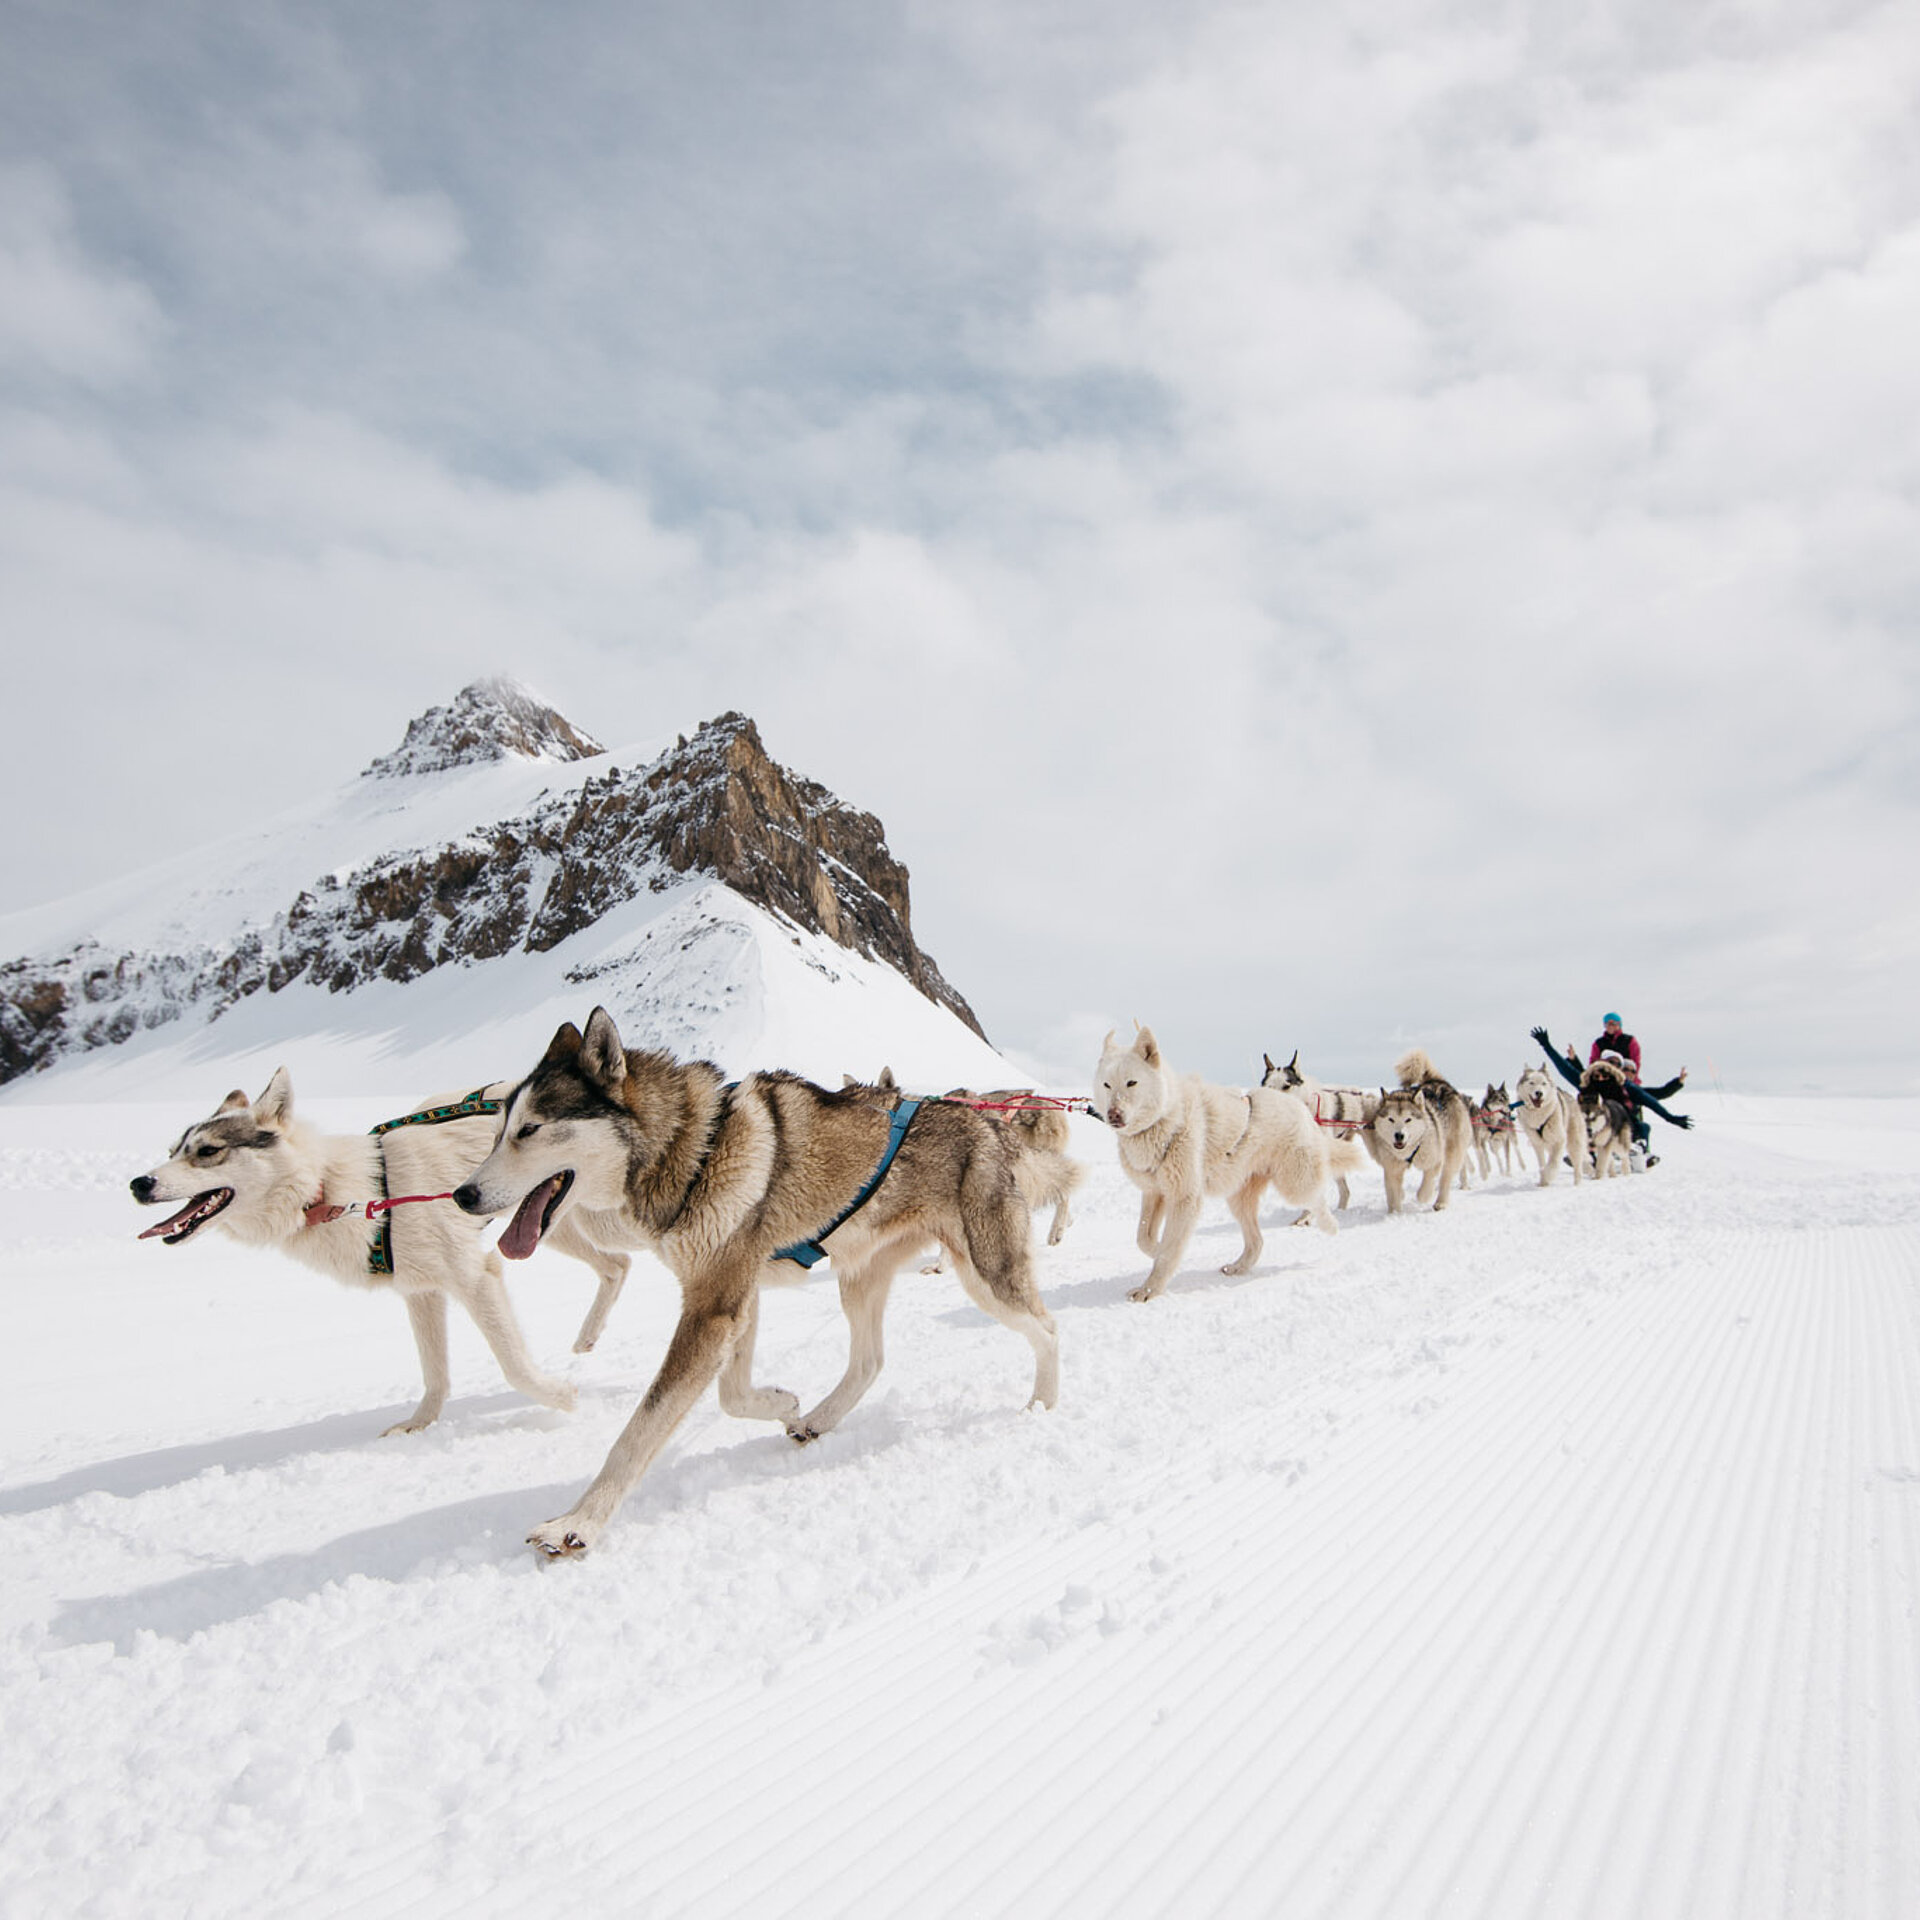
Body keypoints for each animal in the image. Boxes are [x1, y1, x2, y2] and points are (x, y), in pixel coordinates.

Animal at [131, 1075, 625, 1436]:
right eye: (173, 1150)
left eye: (208, 1151)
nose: (139, 1183)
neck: (336, 1189)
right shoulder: (421, 1293)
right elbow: (434, 1374)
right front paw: (418, 1426)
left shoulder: (475, 1277)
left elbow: (515, 1368)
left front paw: (564, 1399)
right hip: (542, 1226)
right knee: (617, 1265)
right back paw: (588, 1337)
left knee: (622, 1262)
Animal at [460, 1013, 1067, 1551]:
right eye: (496, 1134)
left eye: (530, 1130)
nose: (463, 1195)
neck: (696, 1151)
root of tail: (986, 1122)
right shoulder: (733, 1297)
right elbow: (731, 1395)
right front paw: (782, 1403)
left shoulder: (712, 1307)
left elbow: (639, 1432)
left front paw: (578, 1524)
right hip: (858, 1278)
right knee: (869, 1361)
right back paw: (818, 1419)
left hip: (987, 1274)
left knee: (1048, 1329)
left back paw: (1043, 1406)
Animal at [1098, 1021, 1336, 1305]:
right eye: (1107, 1085)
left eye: (1132, 1082)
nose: (1113, 1114)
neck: (1166, 1119)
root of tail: (1296, 1102)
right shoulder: (1155, 1192)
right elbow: (1143, 1238)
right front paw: (1157, 1249)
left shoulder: (1185, 1197)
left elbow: (1168, 1250)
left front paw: (1149, 1289)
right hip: (1238, 1199)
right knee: (1257, 1241)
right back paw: (1239, 1266)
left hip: (1294, 1183)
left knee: (1316, 1198)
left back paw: (1328, 1224)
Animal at [1367, 1052, 1466, 1213]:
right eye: (1391, 1119)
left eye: (1408, 1119)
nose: (1399, 1135)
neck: (1408, 1151)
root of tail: (1436, 1081)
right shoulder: (1391, 1169)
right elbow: (1393, 1194)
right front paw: (1395, 1214)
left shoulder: (1434, 1161)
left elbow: (1427, 1184)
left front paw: (1423, 1196)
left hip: (1452, 1150)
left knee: (1446, 1177)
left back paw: (1441, 1202)